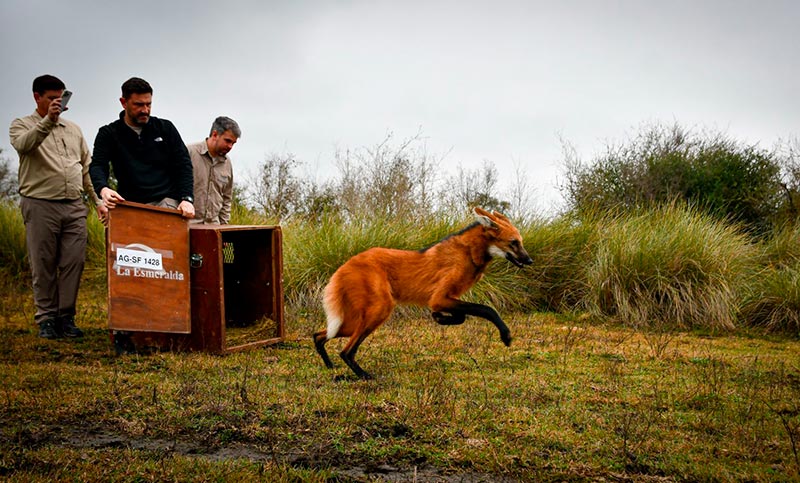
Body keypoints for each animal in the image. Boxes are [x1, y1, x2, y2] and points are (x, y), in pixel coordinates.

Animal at [313, 207, 533, 379]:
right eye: (514, 242)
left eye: (521, 242)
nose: (530, 260)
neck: (470, 254)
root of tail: (346, 263)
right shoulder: (439, 298)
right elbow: (487, 310)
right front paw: (506, 335)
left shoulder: (447, 298)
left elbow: (462, 316)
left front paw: (441, 318)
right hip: (378, 311)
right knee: (346, 351)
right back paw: (365, 376)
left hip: (351, 321)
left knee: (319, 335)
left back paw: (330, 367)